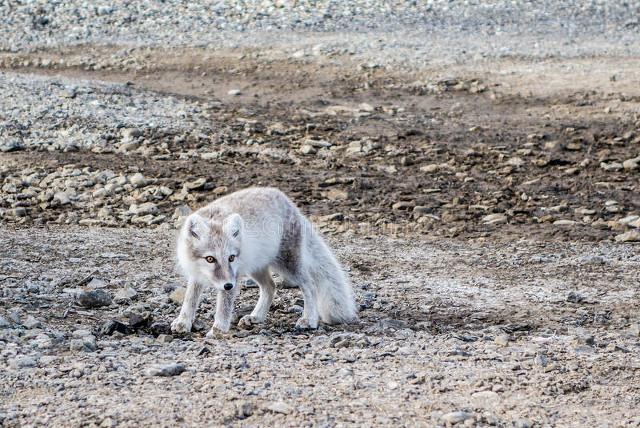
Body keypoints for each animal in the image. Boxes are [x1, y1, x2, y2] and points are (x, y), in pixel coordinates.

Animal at [170, 186, 358, 336]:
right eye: (210, 259)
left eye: (231, 258)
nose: (228, 285)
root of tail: (289, 203)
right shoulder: (196, 274)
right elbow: (190, 299)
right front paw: (183, 322)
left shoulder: (234, 275)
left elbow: (224, 306)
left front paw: (218, 329)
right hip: (256, 267)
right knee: (270, 287)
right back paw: (256, 317)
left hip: (288, 264)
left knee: (309, 285)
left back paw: (309, 319)